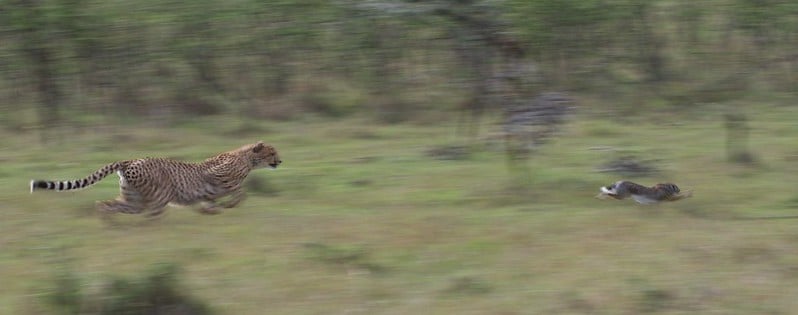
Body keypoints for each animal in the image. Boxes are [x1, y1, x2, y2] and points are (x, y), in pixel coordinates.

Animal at [29, 142, 282, 218]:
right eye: (271, 152)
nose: (280, 160)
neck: (247, 158)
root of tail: (129, 160)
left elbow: (214, 200)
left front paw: (211, 210)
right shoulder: (215, 176)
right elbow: (240, 191)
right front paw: (229, 205)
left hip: (133, 200)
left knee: (105, 205)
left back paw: (109, 224)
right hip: (159, 195)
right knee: (149, 216)